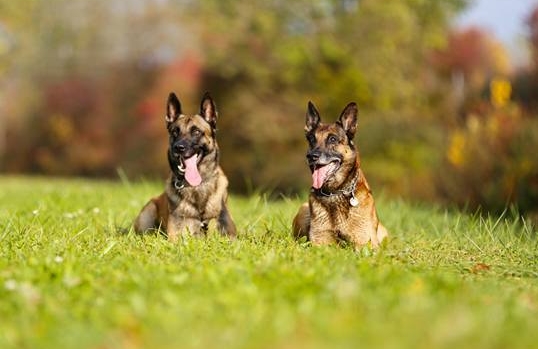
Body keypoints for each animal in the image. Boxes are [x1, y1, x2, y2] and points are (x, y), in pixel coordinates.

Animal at [133, 91, 236, 241]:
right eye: (175, 132)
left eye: (196, 132)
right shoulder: (175, 237)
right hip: (149, 211)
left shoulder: (230, 236)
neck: (197, 186)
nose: (178, 147)